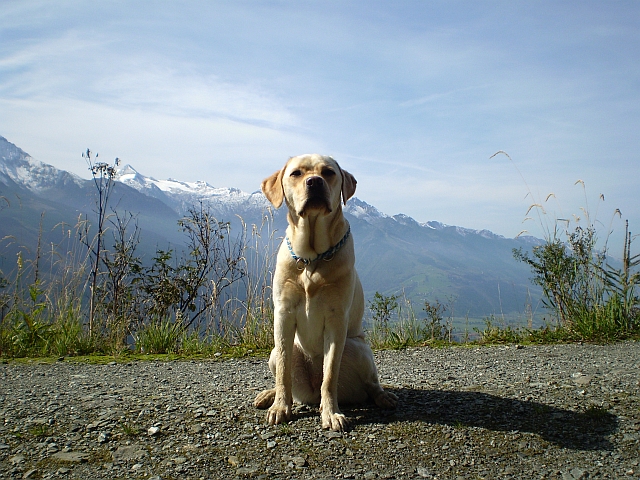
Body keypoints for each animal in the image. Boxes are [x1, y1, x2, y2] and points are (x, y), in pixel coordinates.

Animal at [254, 154, 396, 432]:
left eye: (328, 172)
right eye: (296, 173)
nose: (314, 182)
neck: (311, 260)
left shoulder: (336, 319)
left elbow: (329, 375)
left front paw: (331, 413)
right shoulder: (283, 315)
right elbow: (284, 373)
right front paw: (280, 406)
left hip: (358, 348)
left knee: (370, 384)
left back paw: (383, 396)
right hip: (275, 352)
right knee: (285, 375)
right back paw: (269, 395)